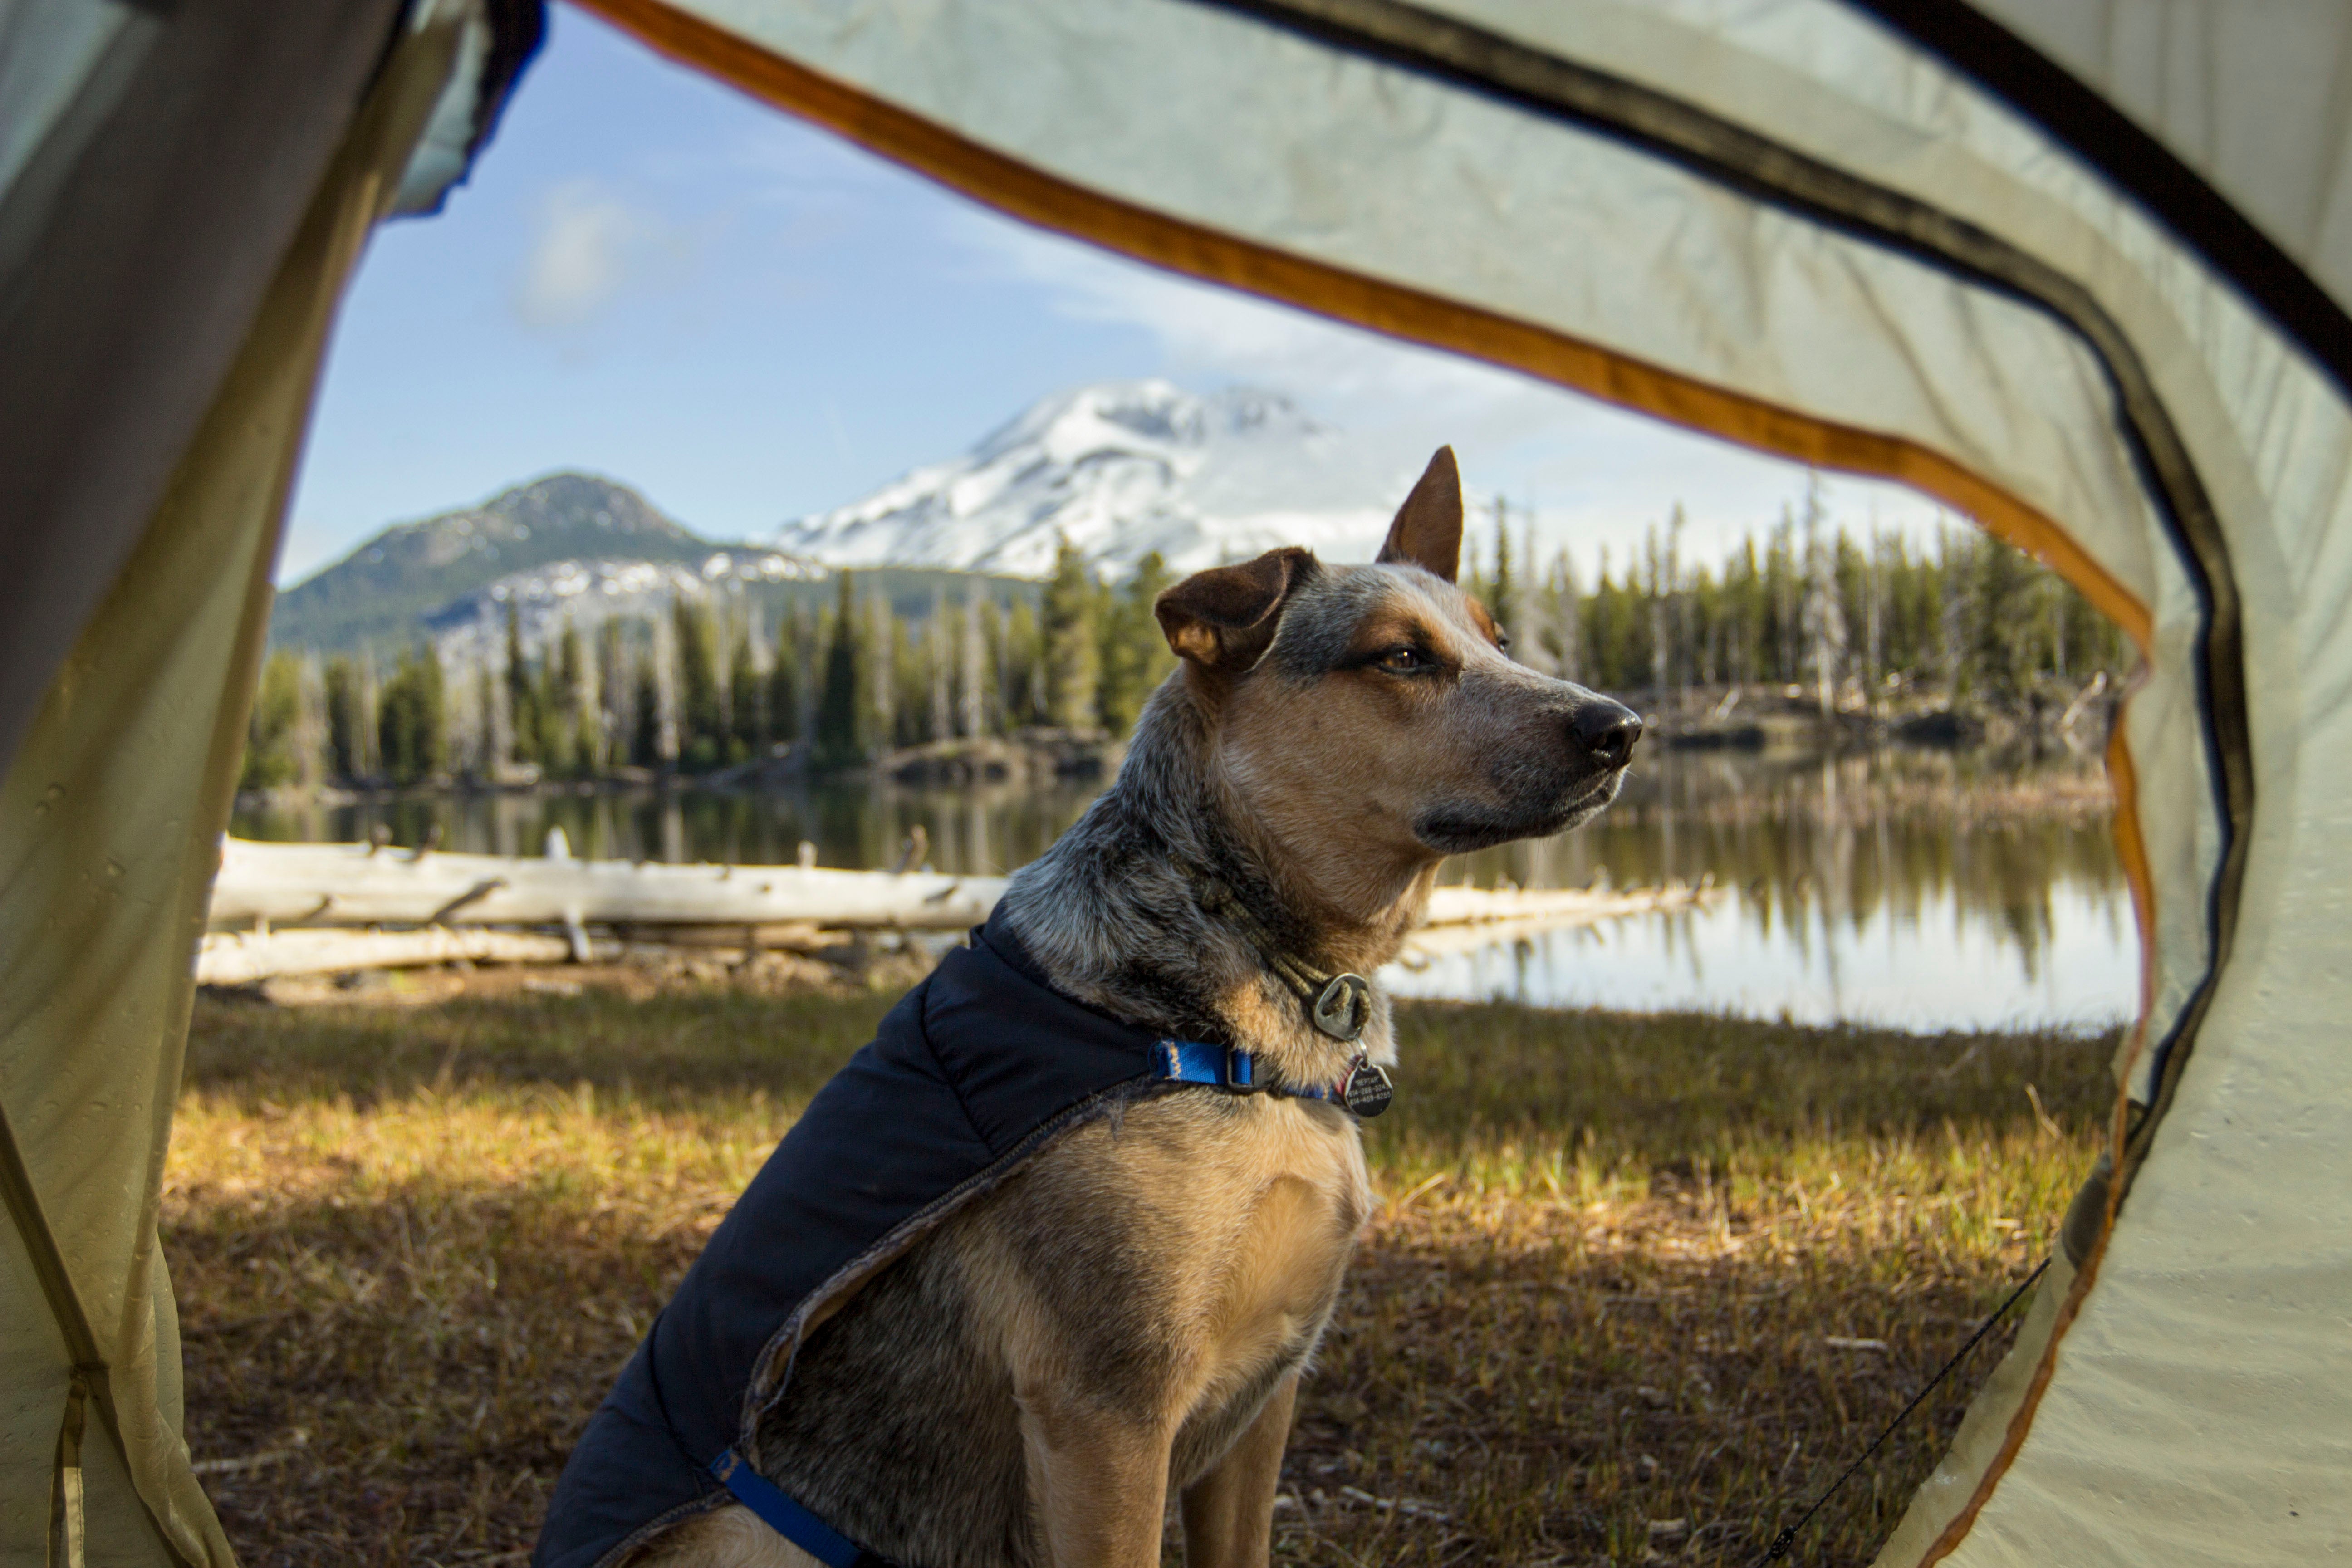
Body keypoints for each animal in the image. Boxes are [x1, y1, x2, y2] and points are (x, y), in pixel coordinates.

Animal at [593, 451, 1637, 1568]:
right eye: (1400, 657)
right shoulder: (1108, 1413)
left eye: (1499, 642)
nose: (1621, 728)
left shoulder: (1265, 1394)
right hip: (754, 1533)